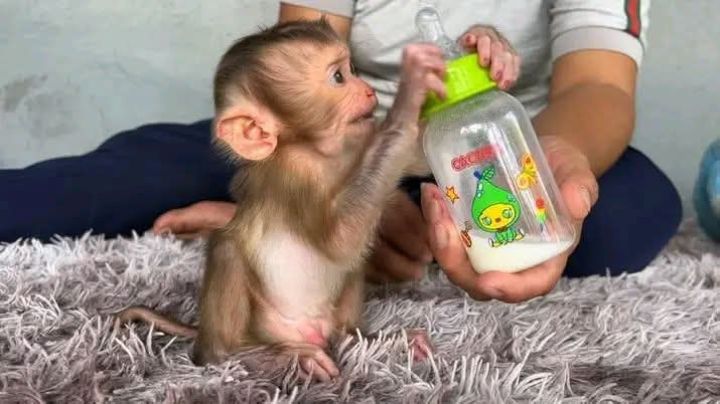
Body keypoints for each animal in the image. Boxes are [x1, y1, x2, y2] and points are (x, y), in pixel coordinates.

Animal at [114, 19, 447, 382]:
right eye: (338, 77)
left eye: (353, 70)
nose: (369, 91)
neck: (321, 154)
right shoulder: (293, 178)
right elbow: (338, 240)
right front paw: (412, 90)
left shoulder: (360, 142)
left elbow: (418, 158)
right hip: (261, 326)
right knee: (227, 251)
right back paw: (266, 356)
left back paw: (369, 339)